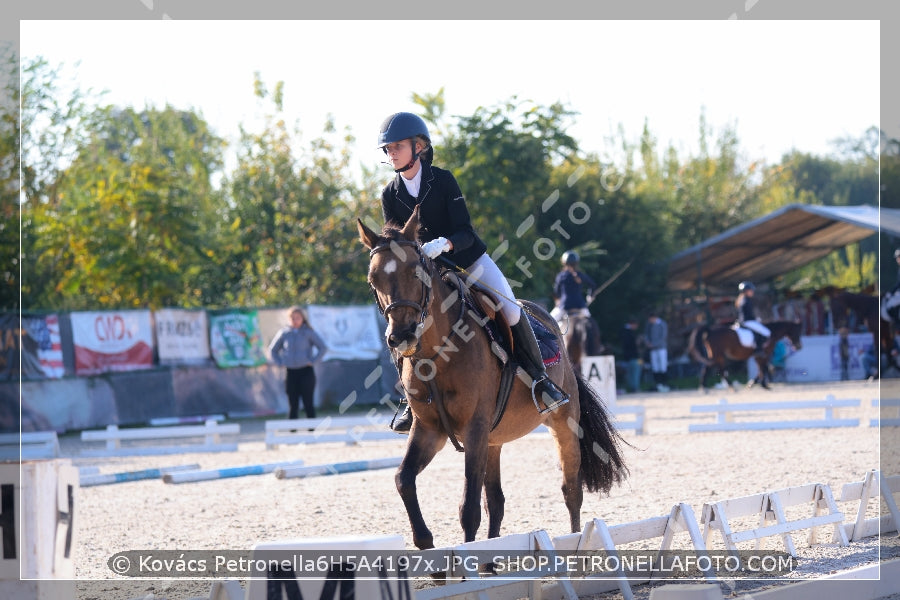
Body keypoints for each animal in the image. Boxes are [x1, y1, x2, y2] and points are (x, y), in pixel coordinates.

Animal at [356, 209, 624, 552]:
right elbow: (403, 479)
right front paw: (426, 543)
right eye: (373, 280)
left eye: (417, 273)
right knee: (496, 501)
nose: (401, 337)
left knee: (570, 489)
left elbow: (468, 508)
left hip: (563, 422)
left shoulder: (474, 429)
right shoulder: (430, 430)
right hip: (493, 439)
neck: (437, 353)